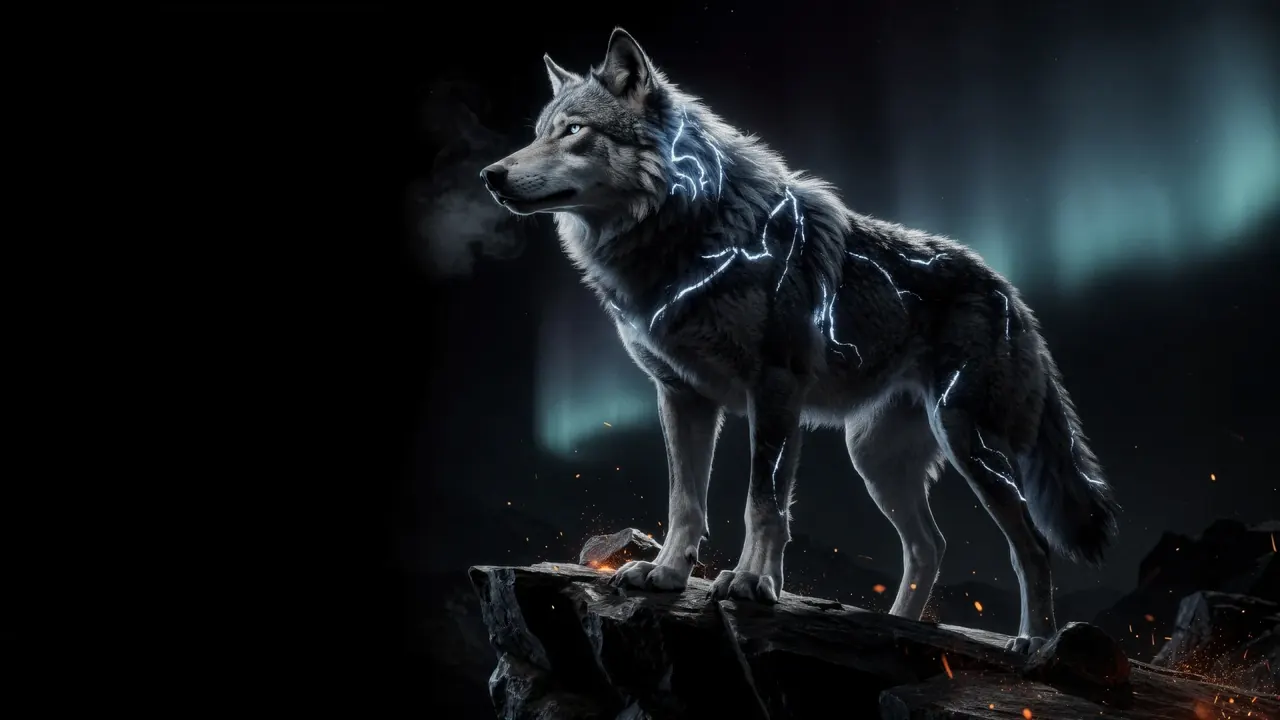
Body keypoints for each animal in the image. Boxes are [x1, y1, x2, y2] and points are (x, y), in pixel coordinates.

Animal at [480, 28, 1118, 652]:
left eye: (573, 131)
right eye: (537, 134)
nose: (491, 175)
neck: (686, 235)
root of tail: (1012, 294)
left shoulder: (774, 392)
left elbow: (762, 502)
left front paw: (750, 583)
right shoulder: (683, 396)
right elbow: (686, 499)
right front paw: (666, 574)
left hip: (969, 445)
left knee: (1030, 546)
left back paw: (1036, 644)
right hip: (874, 459)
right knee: (929, 546)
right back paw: (902, 626)